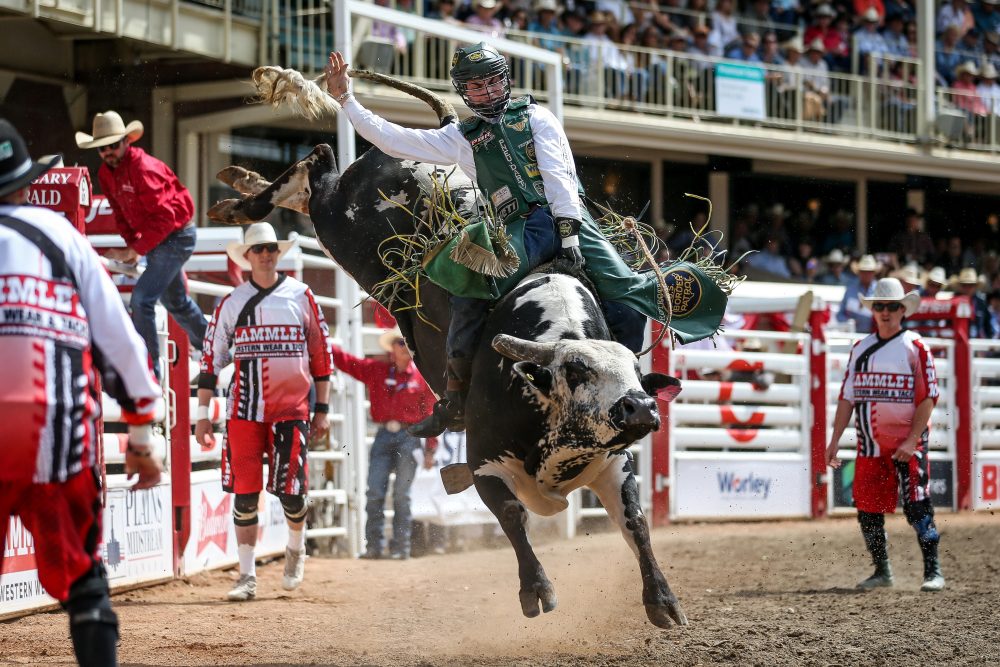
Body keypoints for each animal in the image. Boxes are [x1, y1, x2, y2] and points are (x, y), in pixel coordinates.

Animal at [207, 65, 692, 628]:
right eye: (576, 372)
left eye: (634, 375)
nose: (640, 407)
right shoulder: (484, 462)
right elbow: (512, 514)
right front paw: (536, 590)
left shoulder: (614, 463)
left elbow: (635, 520)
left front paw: (663, 600)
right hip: (337, 220)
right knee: (316, 168)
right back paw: (238, 194)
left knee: (309, 179)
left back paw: (238, 183)